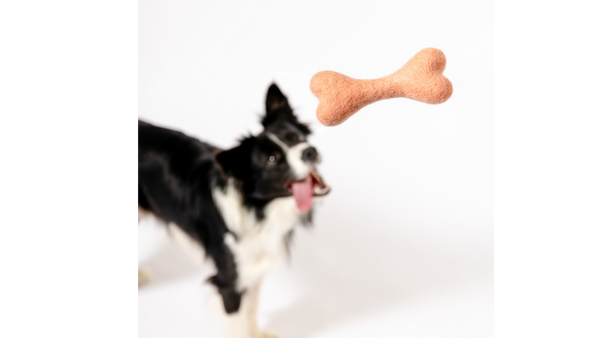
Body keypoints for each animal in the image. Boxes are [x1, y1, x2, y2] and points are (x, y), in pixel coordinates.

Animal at [134, 84, 330, 336]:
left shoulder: (252, 271)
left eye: (297, 137)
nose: (310, 151)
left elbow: (251, 308)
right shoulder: (228, 281)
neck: (258, 209)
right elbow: (237, 322)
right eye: (272, 159)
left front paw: (257, 334)